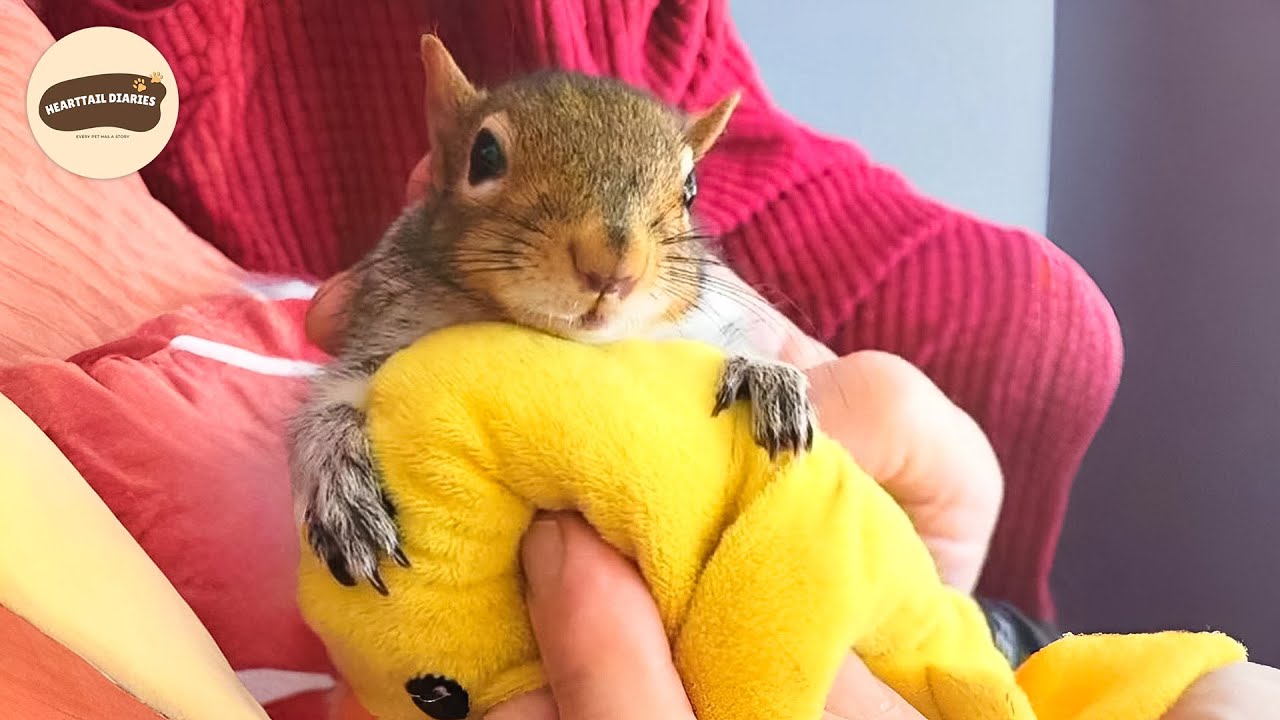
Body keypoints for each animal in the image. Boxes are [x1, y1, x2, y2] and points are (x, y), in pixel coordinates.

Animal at [289, 35, 818, 594]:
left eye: (691, 188)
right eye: (484, 155)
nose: (613, 266)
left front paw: (766, 374)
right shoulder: (382, 333)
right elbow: (327, 406)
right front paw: (340, 483)